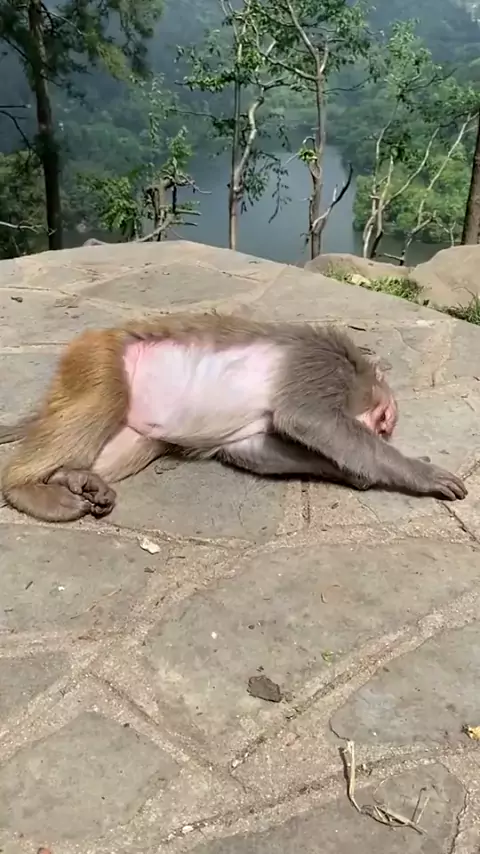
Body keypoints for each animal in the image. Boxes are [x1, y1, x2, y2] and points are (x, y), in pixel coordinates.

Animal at [0, 312, 467, 523]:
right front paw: (419, 473)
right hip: (99, 358)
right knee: (101, 403)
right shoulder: (318, 364)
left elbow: (254, 447)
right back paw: (24, 487)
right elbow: (306, 419)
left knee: (136, 442)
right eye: (384, 421)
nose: (380, 433)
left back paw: (74, 478)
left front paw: (355, 474)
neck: (354, 374)